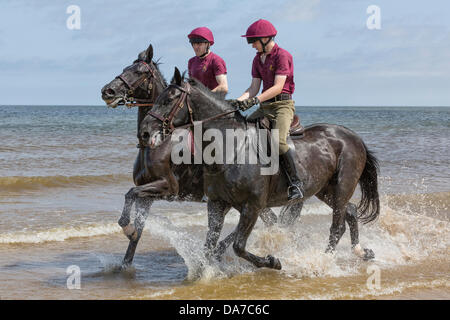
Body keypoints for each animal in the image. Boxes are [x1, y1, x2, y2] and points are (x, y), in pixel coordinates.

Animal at [140, 68, 380, 270]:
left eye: (168, 100)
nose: (144, 132)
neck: (230, 147)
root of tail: (353, 136)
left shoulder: (253, 206)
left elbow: (238, 245)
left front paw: (273, 262)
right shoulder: (217, 203)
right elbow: (209, 246)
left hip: (342, 186)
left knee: (337, 226)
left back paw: (323, 261)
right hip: (325, 190)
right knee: (350, 211)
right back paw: (361, 252)